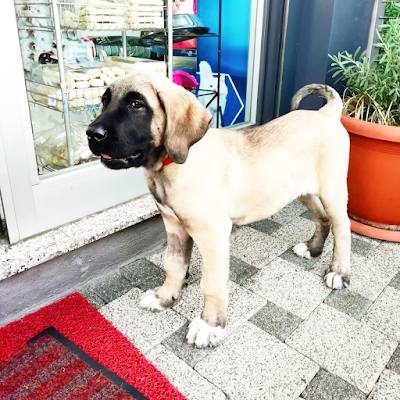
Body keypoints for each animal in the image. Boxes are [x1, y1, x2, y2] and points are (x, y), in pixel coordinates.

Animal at [86, 73, 350, 348]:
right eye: (105, 100)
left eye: (137, 105)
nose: (92, 134)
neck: (170, 164)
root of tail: (326, 114)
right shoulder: (173, 225)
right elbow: (173, 263)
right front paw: (165, 296)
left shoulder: (212, 233)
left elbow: (212, 282)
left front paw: (210, 324)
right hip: (301, 190)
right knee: (322, 218)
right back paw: (313, 248)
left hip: (332, 189)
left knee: (343, 227)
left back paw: (339, 272)